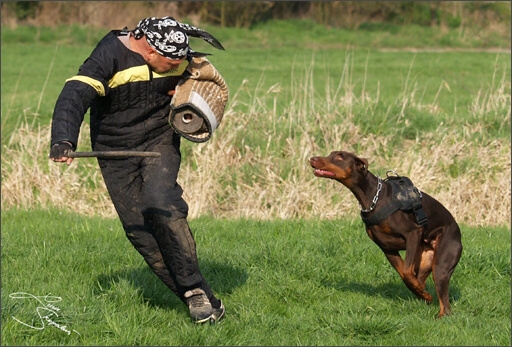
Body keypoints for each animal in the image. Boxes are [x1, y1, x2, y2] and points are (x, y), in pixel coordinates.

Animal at [310, 151, 462, 320]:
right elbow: (405, 275)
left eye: (339, 157)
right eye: (331, 154)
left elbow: (407, 272)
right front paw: (423, 294)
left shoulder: (413, 233)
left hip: (441, 263)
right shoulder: (387, 248)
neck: (373, 198)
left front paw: (424, 294)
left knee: (446, 305)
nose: (312, 158)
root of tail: (458, 233)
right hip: (425, 259)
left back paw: (439, 314)